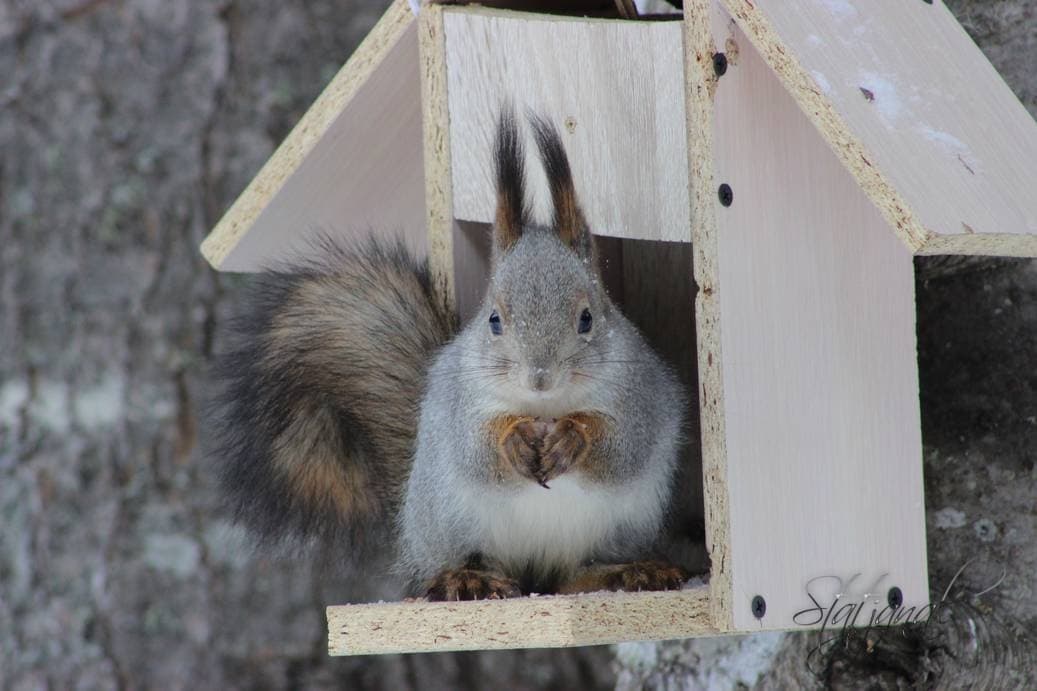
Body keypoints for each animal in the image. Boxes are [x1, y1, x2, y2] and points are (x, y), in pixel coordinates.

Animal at [206, 107, 692, 597]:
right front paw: (512, 440)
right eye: (493, 320)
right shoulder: (459, 401)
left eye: (587, 318)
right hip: (447, 521)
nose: (539, 378)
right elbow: (475, 448)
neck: (544, 409)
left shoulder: (640, 395)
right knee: (455, 564)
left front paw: (572, 437)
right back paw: (466, 577)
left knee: (576, 574)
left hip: (619, 527)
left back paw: (627, 571)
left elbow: (623, 445)